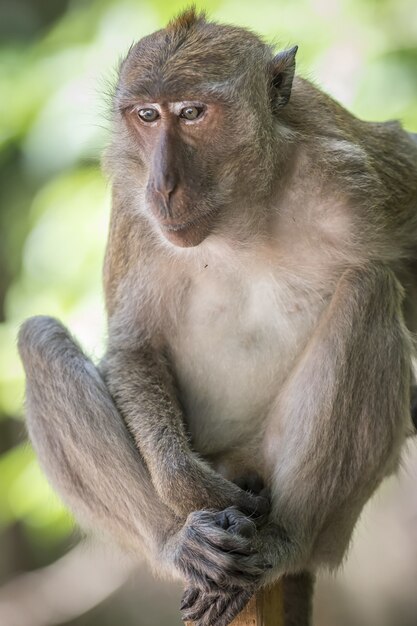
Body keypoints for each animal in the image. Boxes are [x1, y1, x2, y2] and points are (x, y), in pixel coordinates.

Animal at [17, 8, 416, 624]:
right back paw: (180, 542)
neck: (241, 214)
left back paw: (286, 539)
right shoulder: (131, 200)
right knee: (39, 340)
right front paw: (188, 492)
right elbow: (135, 345)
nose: (163, 186)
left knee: (371, 291)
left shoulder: (359, 173)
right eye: (147, 115)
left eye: (193, 113)